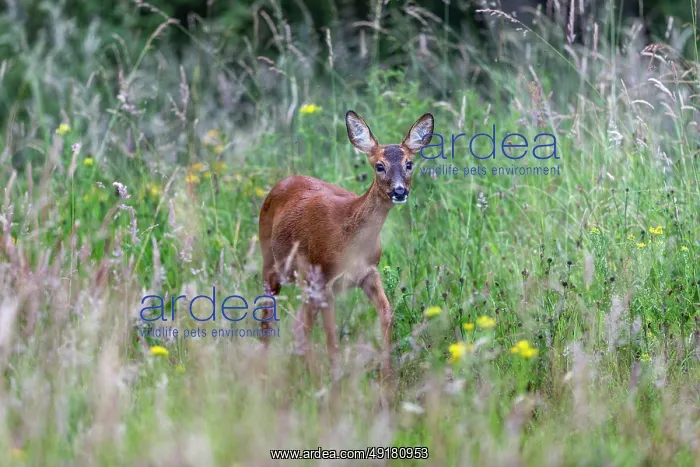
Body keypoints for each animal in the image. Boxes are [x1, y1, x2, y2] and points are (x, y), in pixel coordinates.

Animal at [258, 110, 434, 383]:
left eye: (409, 164)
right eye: (379, 165)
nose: (399, 191)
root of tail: (279, 184)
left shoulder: (368, 273)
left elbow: (387, 315)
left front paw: (388, 381)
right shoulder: (324, 280)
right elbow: (332, 339)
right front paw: (335, 384)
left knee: (299, 326)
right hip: (271, 264)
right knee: (268, 318)